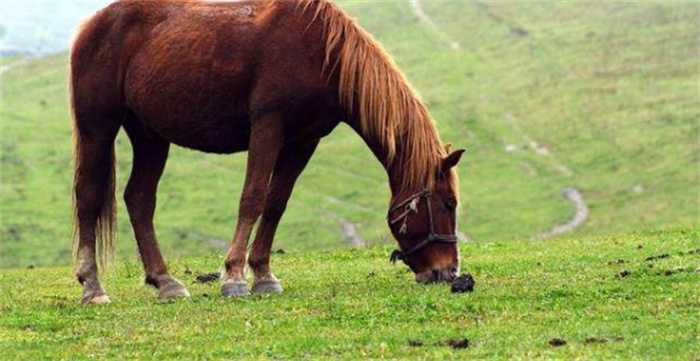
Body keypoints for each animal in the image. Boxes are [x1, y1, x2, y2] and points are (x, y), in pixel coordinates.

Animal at [71, 0, 464, 304]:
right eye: (448, 204)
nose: (448, 271)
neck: (323, 55)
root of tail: (92, 25)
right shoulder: (267, 128)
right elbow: (253, 197)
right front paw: (233, 276)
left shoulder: (303, 141)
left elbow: (276, 203)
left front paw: (263, 274)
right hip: (98, 128)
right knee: (89, 197)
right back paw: (92, 287)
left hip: (150, 136)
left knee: (139, 199)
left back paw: (165, 282)